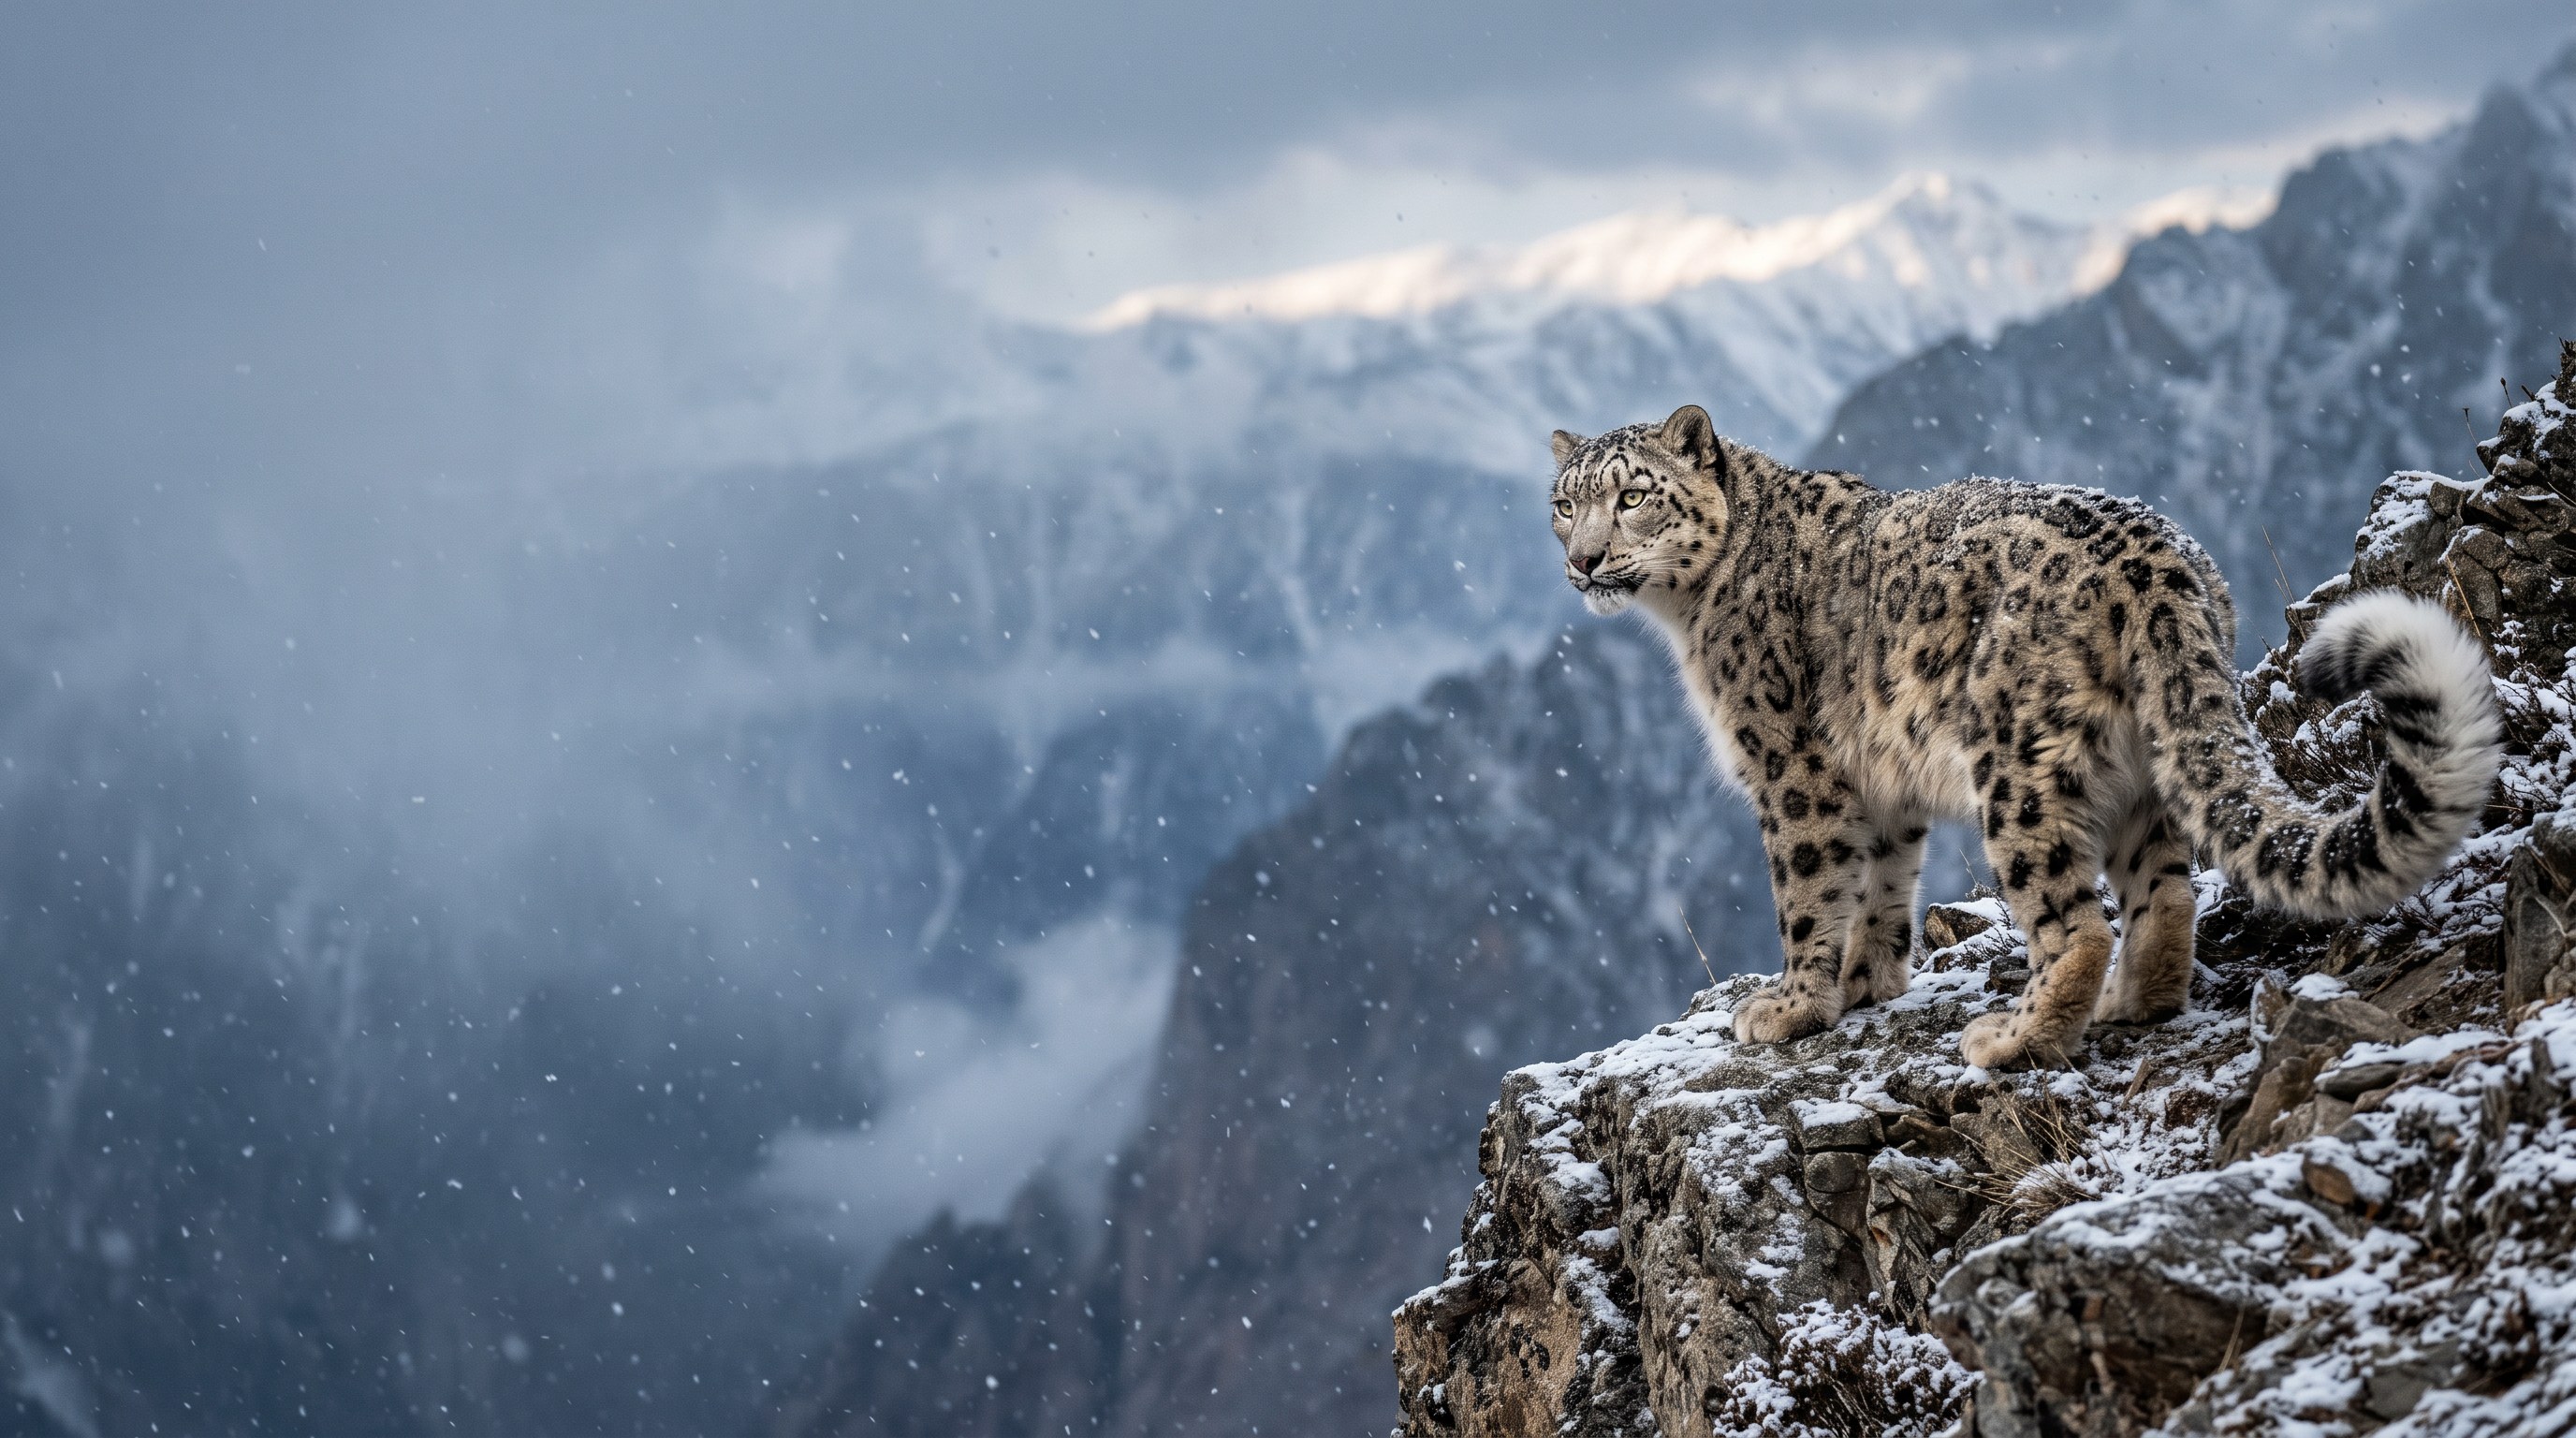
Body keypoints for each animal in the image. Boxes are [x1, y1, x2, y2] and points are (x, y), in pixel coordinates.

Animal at [1549, 405, 2504, 1068]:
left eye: (1632, 496)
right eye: (1564, 504)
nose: (1583, 561)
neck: (1685, 616)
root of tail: (2161, 563)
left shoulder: (1794, 770)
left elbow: (1811, 890)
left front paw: (1791, 1006)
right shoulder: (1879, 782)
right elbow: (1883, 882)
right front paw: (1866, 982)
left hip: (2018, 766)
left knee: (2073, 924)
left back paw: (2013, 1038)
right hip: (2140, 766)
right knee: (2163, 894)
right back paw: (2132, 1003)